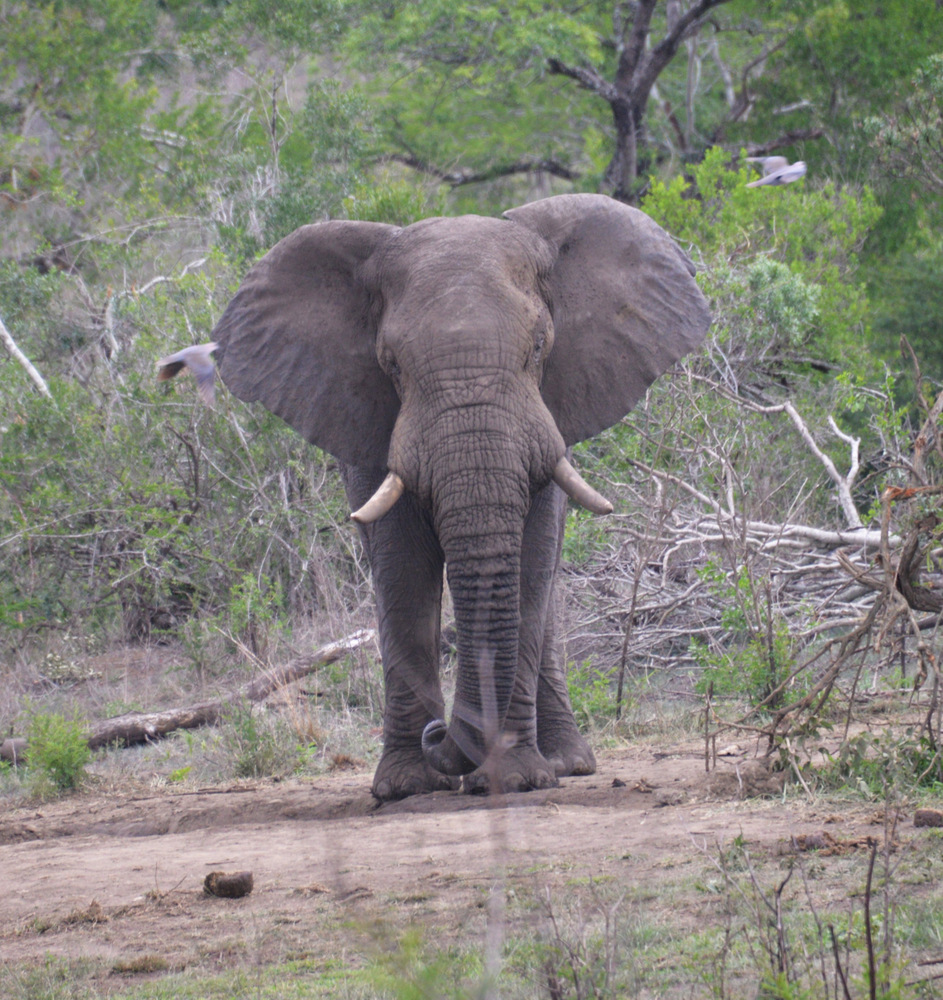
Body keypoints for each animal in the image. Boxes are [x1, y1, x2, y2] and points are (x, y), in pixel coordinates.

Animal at [164, 195, 708, 800]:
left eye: (538, 346)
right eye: (391, 364)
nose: (438, 733)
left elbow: (529, 562)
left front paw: (514, 779)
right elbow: (401, 567)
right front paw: (406, 787)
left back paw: (567, 765)